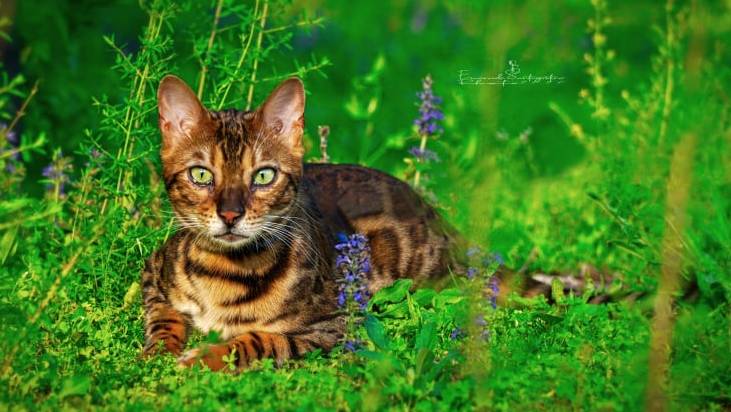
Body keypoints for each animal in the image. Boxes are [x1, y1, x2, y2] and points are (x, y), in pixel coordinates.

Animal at [143, 75, 460, 372]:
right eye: (200, 174)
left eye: (263, 176)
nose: (231, 215)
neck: (224, 271)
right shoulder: (153, 270)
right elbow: (162, 318)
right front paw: (157, 353)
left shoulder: (337, 323)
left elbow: (261, 339)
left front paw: (202, 358)